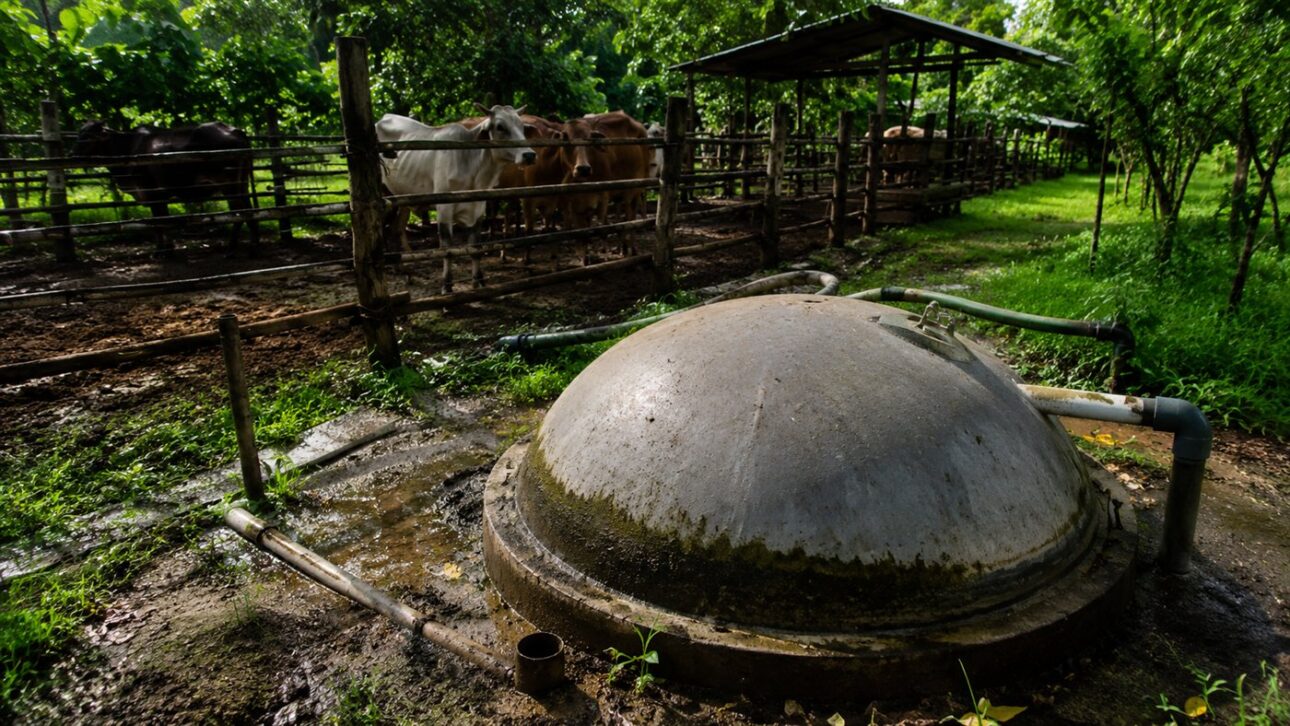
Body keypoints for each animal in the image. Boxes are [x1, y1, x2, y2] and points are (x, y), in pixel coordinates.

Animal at [72, 121, 259, 254]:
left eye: (89, 136)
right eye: (79, 134)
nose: (72, 155)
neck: (127, 148)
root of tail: (233, 130)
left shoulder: (151, 193)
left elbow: (159, 221)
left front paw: (163, 250)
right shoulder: (157, 197)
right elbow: (162, 220)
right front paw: (166, 247)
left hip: (229, 186)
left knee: (240, 212)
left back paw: (234, 247)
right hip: (241, 185)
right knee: (246, 211)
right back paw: (251, 245)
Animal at [375, 104, 536, 292]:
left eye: (522, 127)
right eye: (500, 127)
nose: (529, 155)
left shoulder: (478, 207)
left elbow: (475, 247)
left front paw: (479, 282)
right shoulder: (444, 208)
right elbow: (447, 248)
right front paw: (447, 286)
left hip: (402, 200)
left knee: (395, 228)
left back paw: (403, 270)